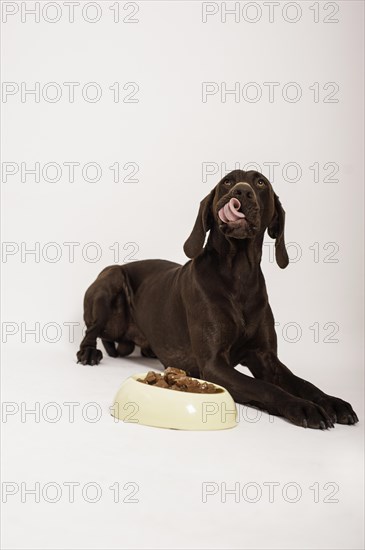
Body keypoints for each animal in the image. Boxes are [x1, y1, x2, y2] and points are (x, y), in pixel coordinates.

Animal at [75, 170, 356, 430]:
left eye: (260, 182)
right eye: (228, 181)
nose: (241, 192)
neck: (239, 276)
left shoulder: (266, 358)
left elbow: (303, 383)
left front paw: (332, 402)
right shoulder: (214, 365)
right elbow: (264, 387)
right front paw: (303, 407)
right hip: (111, 278)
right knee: (91, 331)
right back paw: (89, 352)